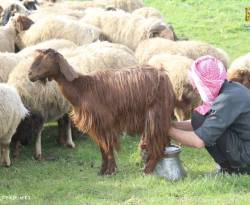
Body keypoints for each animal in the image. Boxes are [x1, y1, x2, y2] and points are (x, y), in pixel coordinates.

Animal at [27, 48, 176, 175]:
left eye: (47, 60)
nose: (30, 74)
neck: (82, 89)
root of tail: (165, 76)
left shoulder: (104, 123)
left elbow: (108, 148)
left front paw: (110, 171)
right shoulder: (96, 126)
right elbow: (102, 148)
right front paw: (102, 171)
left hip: (155, 115)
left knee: (157, 143)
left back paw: (147, 170)